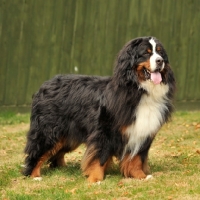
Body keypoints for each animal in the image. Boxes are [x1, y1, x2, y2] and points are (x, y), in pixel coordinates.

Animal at [23, 36, 175, 183]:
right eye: (146, 53)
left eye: (160, 52)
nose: (160, 61)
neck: (139, 90)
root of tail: (45, 84)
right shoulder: (104, 131)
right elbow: (100, 157)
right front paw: (96, 178)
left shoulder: (141, 132)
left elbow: (136, 158)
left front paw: (140, 176)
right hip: (49, 131)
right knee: (37, 151)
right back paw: (34, 175)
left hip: (68, 135)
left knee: (57, 152)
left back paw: (62, 168)